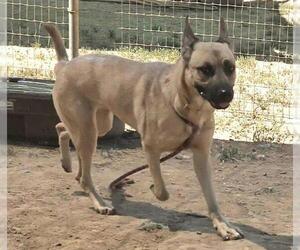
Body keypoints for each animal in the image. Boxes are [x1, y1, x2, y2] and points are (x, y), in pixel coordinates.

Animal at [44, 17, 244, 240]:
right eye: (205, 69)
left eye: (230, 68)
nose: (226, 94)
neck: (182, 103)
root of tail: (65, 65)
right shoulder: (150, 148)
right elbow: (162, 191)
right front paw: (152, 187)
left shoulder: (201, 155)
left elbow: (212, 198)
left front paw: (222, 225)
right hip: (88, 132)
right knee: (84, 171)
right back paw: (99, 202)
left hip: (98, 126)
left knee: (63, 130)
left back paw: (68, 165)